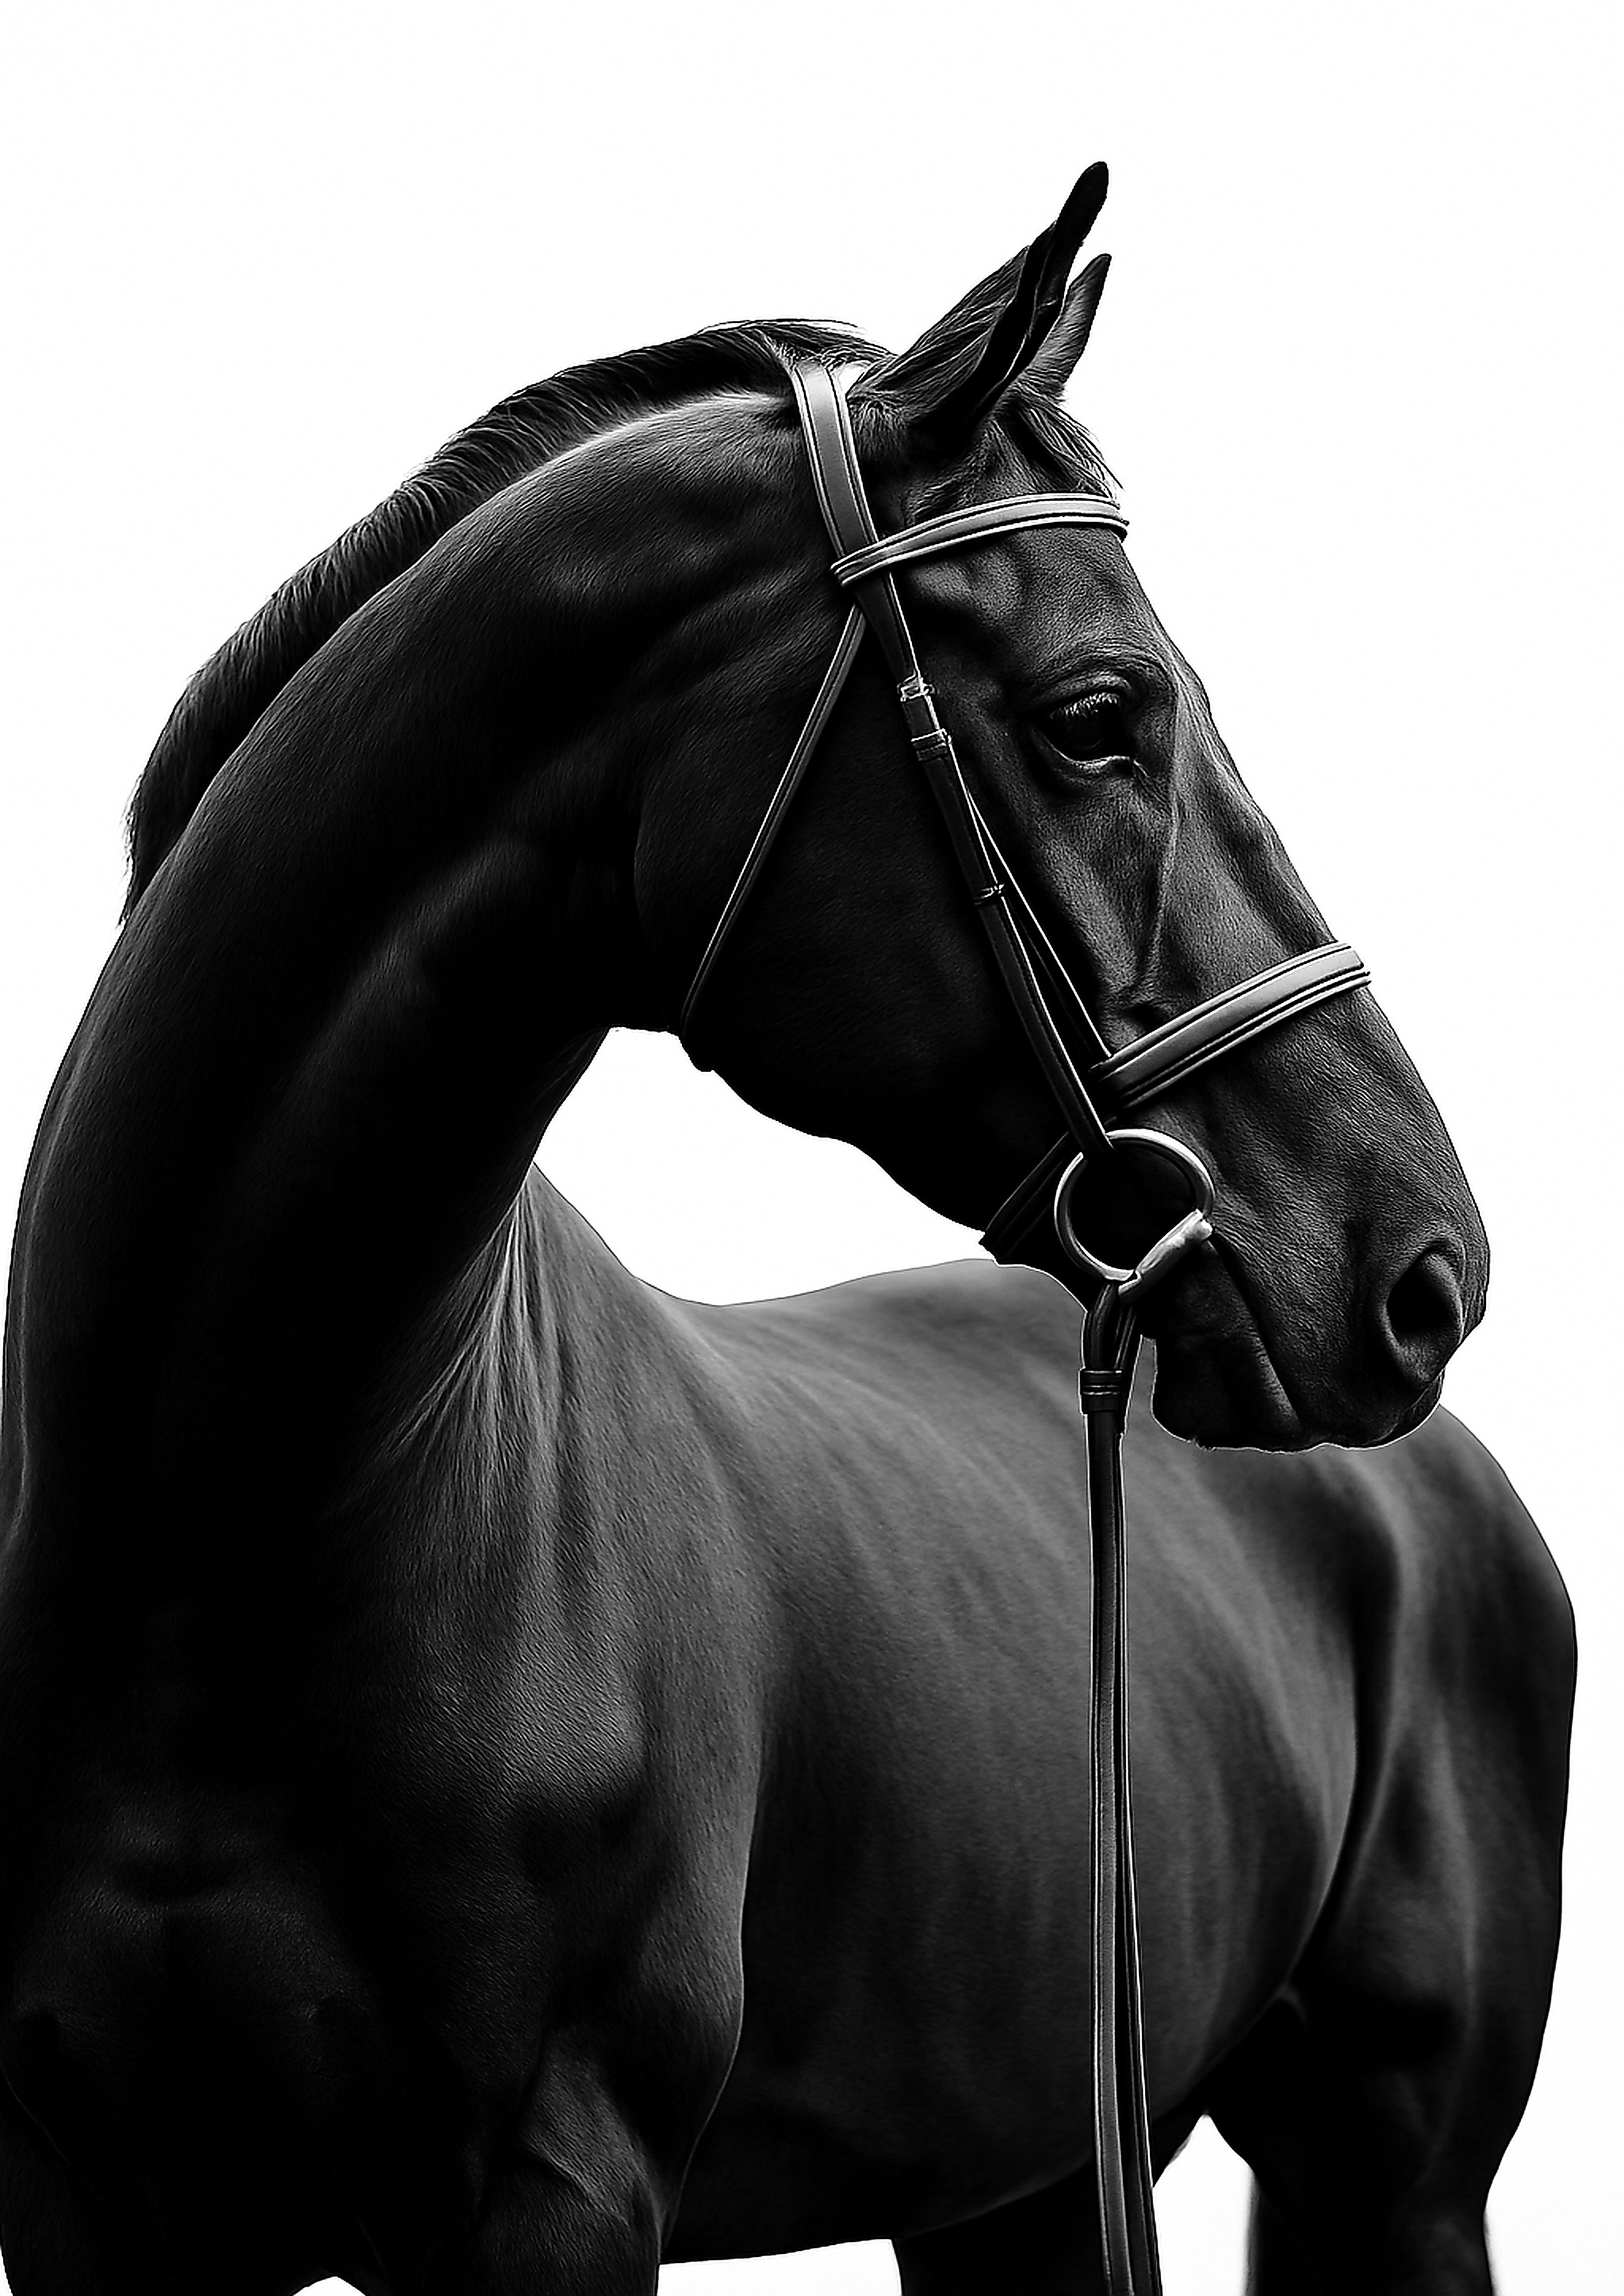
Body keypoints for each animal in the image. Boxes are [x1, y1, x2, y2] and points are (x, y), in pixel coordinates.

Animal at [0, 165, 1573, 2296]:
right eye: (1095, 717)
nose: (1419, 1268)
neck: (222, 1541)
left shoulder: (553, 2197)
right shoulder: (91, 2203)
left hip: (1393, 2168)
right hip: (1023, 2177)